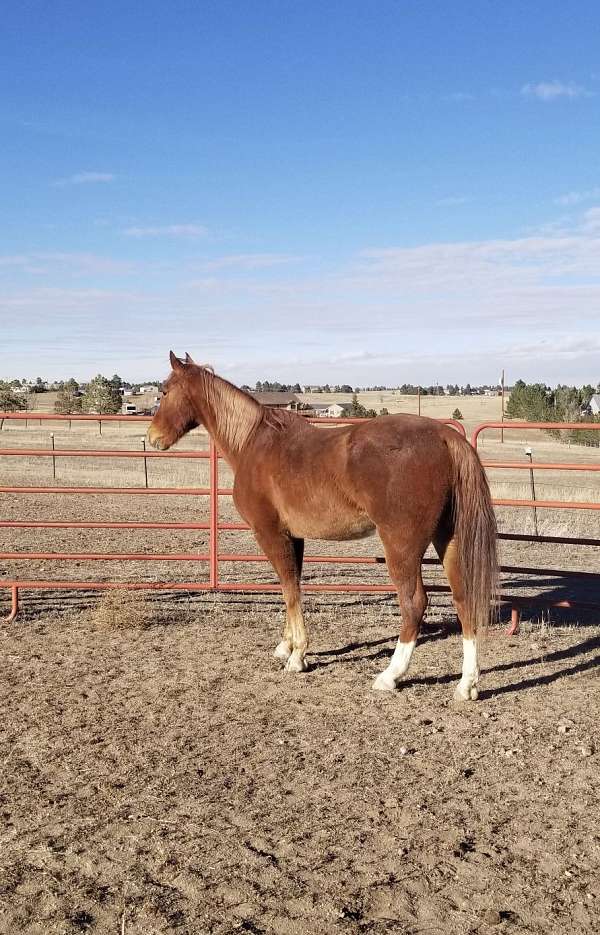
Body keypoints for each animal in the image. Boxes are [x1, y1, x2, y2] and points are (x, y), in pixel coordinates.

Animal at [148, 352, 494, 704]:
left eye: (164, 391)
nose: (152, 438)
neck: (253, 443)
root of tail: (445, 437)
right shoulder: (294, 537)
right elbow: (293, 586)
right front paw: (286, 645)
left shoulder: (270, 534)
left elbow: (289, 589)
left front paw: (298, 656)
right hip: (448, 538)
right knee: (464, 598)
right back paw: (467, 684)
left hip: (401, 545)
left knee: (414, 604)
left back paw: (390, 675)